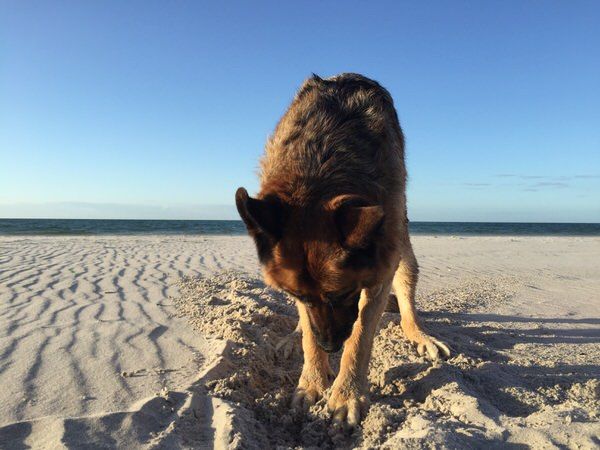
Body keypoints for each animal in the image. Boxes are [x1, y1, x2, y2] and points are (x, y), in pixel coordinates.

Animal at [237, 73, 448, 426]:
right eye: (300, 296)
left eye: (344, 293)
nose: (330, 346)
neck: (321, 167)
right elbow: (309, 332)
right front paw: (311, 381)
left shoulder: (382, 267)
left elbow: (360, 336)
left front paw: (347, 394)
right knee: (304, 328)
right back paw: (294, 336)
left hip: (405, 253)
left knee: (406, 305)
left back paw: (419, 334)